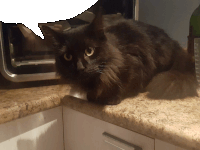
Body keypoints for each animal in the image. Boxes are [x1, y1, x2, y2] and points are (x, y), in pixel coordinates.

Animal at [41, 12, 198, 104]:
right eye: (68, 56)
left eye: (89, 51)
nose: (80, 67)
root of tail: (175, 44)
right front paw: (92, 97)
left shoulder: (137, 64)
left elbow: (124, 86)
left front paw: (108, 99)